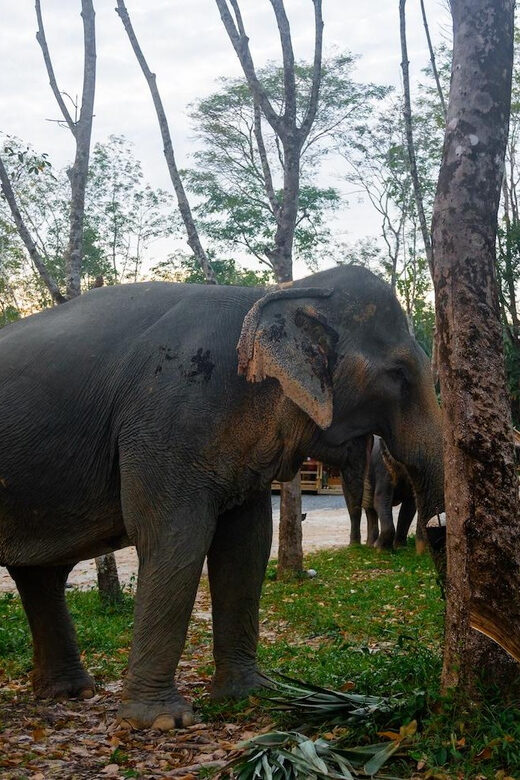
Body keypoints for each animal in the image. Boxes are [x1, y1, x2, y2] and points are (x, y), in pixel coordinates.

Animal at [0, 265, 444, 730]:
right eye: (398, 374)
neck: (282, 291)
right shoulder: (167, 418)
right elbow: (176, 537)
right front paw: (163, 721)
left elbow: (246, 545)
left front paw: (252, 693)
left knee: (41, 574)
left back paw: (70, 693)